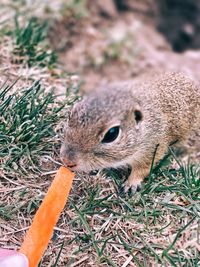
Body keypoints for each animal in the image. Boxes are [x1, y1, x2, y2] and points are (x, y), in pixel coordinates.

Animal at [60, 72, 200, 194]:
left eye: (112, 134)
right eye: (70, 115)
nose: (67, 161)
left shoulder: (152, 148)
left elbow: (142, 169)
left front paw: (130, 184)